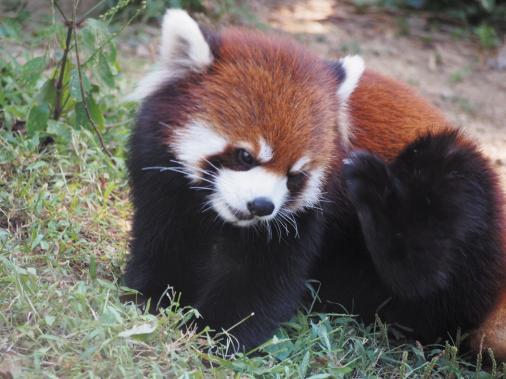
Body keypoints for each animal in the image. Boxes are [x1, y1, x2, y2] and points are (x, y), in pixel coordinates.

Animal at [125, 9, 506, 360]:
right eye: (245, 156)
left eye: (295, 175)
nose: (261, 206)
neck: (220, 218)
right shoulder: (162, 184)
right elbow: (163, 243)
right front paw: (152, 301)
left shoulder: (304, 216)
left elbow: (261, 280)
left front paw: (216, 336)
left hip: (460, 187)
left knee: (429, 270)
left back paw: (376, 193)